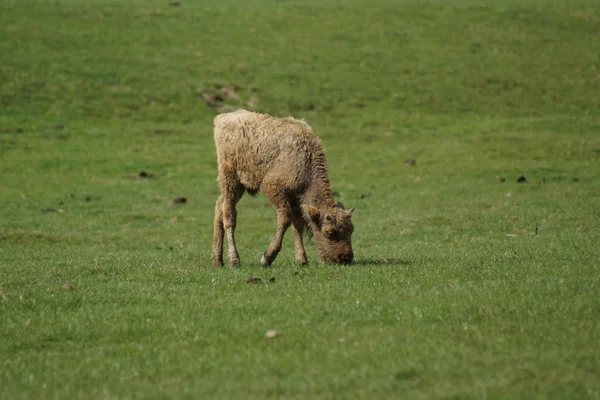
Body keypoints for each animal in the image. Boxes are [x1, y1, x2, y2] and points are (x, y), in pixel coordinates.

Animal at [211, 108, 354, 268]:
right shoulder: (274, 189)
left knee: (219, 207)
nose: (346, 258)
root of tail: (222, 118)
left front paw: (302, 260)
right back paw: (234, 260)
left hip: (240, 185)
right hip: (230, 179)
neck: (306, 161)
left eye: (351, 230)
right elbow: (285, 219)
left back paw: (217, 260)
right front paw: (267, 257)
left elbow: (298, 225)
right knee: (229, 215)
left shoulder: (296, 200)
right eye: (330, 232)